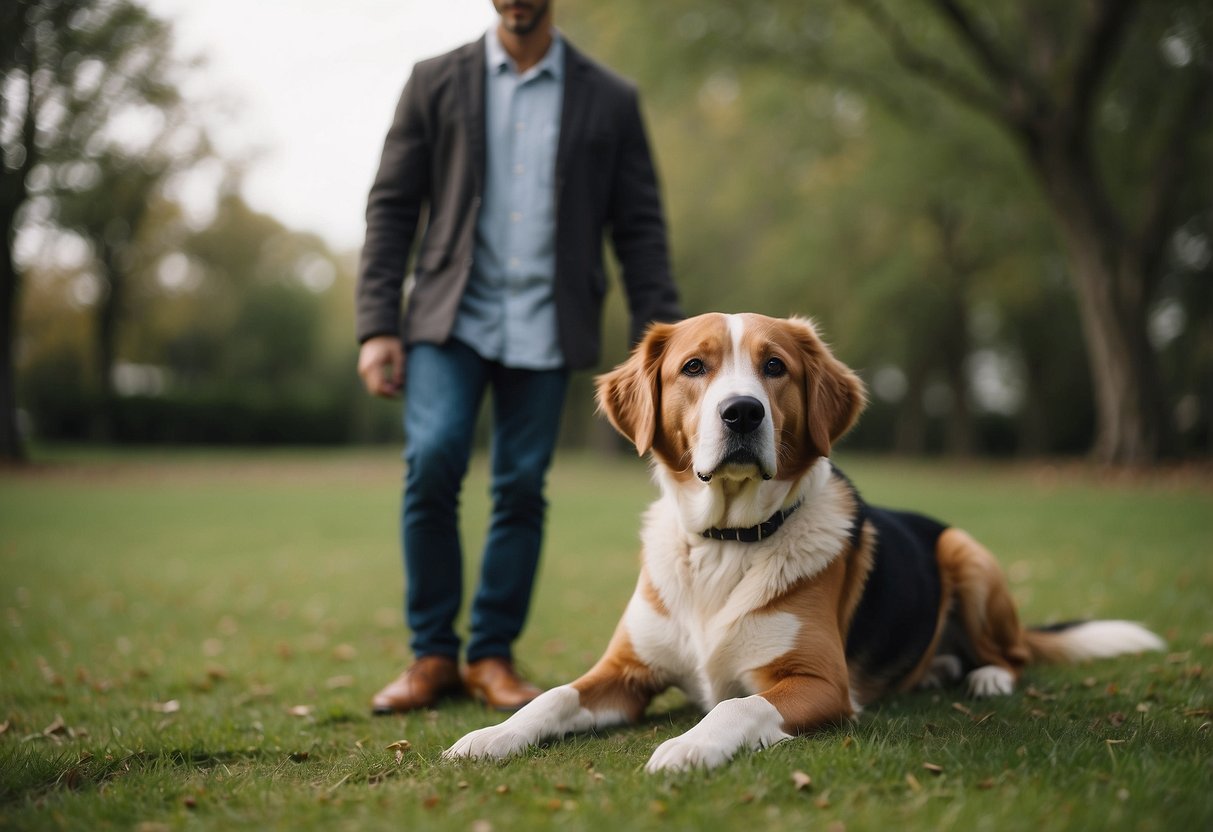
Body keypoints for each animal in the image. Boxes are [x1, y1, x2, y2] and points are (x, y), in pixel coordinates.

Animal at [446, 315, 1164, 776]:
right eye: (694, 367)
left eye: (775, 367)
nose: (741, 412)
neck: (725, 542)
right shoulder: (624, 674)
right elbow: (553, 697)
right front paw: (492, 735)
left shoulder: (820, 683)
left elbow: (737, 704)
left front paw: (689, 747)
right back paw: (938, 667)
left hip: (964, 552)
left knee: (1014, 654)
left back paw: (984, 675)